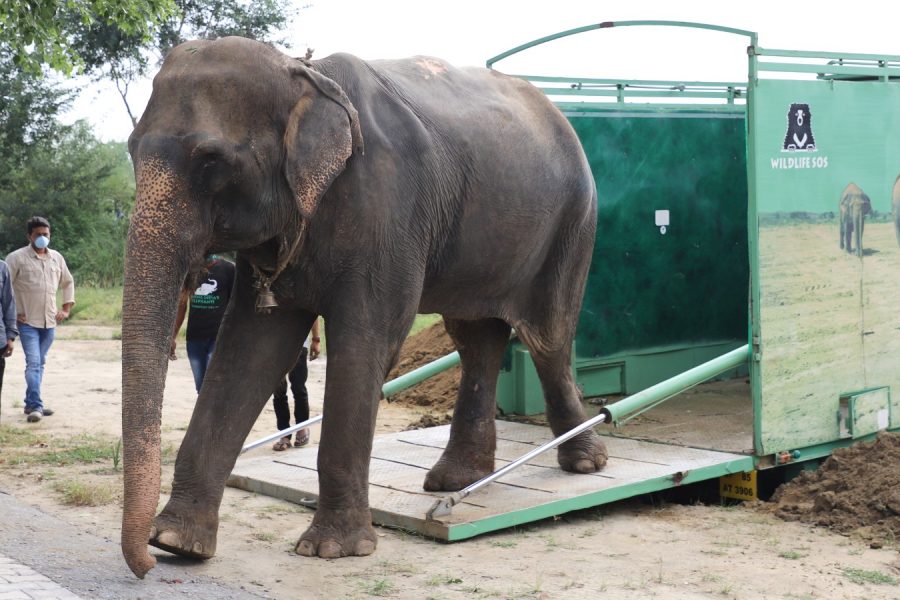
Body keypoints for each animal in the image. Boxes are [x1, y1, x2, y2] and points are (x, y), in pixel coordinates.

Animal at [121, 36, 605, 578]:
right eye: (131, 149)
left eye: (210, 159)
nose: (144, 567)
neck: (303, 74)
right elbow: (250, 348)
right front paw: (177, 544)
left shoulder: (390, 209)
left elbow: (366, 340)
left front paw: (331, 550)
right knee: (476, 338)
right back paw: (453, 481)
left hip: (573, 221)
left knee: (549, 335)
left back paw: (585, 463)